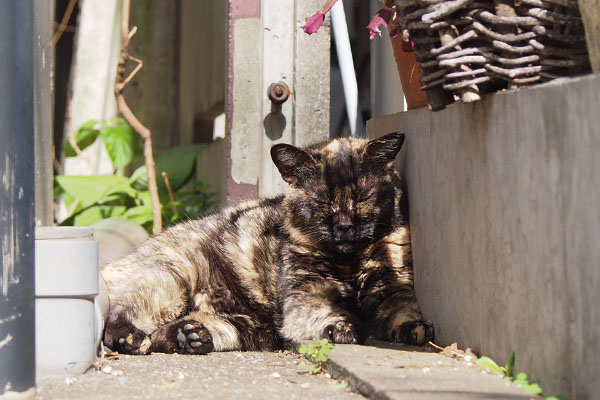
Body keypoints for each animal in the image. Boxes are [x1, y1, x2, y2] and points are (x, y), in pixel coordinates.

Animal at [101, 133, 434, 354]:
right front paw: (343, 327)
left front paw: (415, 328)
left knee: (178, 333)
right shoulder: (305, 295)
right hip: (171, 281)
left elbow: (402, 309)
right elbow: (323, 313)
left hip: (243, 327)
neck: (348, 265)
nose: (344, 226)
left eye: (363, 196)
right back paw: (133, 339)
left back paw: (190, 336)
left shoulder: (392, 287)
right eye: (321, 199)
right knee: (117, 318)